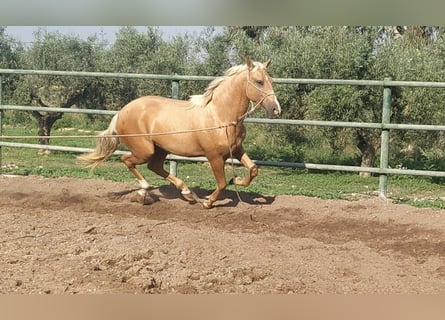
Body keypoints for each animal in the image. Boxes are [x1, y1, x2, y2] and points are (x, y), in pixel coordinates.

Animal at [79, 57, 280, 208]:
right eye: (259, 81)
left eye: (271, 81)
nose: (276, 110)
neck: (220, 116)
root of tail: (121, 112)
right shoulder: (214, 156)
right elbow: (222, 183)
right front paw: (208, 202)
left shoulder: (237, 149)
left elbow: (253, 169)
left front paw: (236, 180)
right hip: (145, 150)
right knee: (127, 160)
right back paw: (144, 191)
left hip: (160, 149)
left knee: (154, 167)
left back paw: (186, 192)